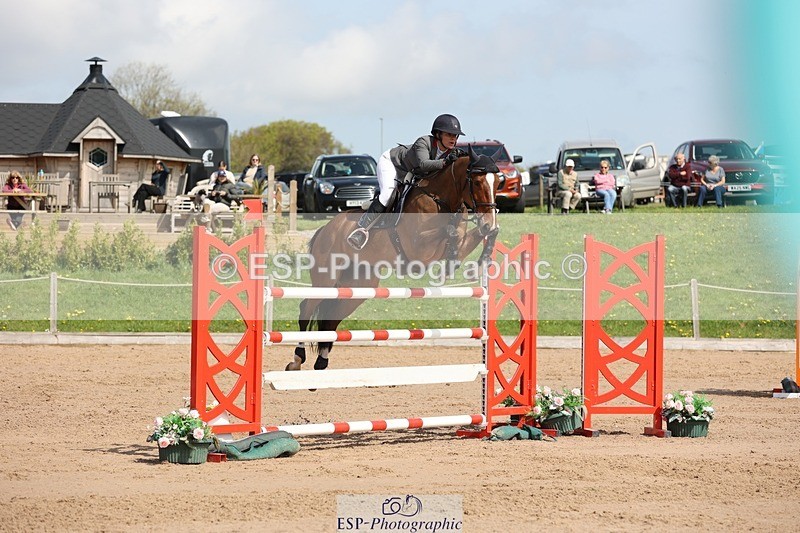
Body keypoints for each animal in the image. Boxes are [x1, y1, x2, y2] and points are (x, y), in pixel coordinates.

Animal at [287, 145, 500, 371]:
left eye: (498, 182)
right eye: (476, 182)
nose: (489, 221)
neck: (440, 198)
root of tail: (324, 230)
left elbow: (466, 238)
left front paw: (480, 256)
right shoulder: (418, 247)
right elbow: (449, 231)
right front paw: (454, 261)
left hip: (357, 288)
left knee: (330, 319)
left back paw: (321, 362)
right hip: (326, 280)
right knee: (306, 308)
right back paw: (297, 360)